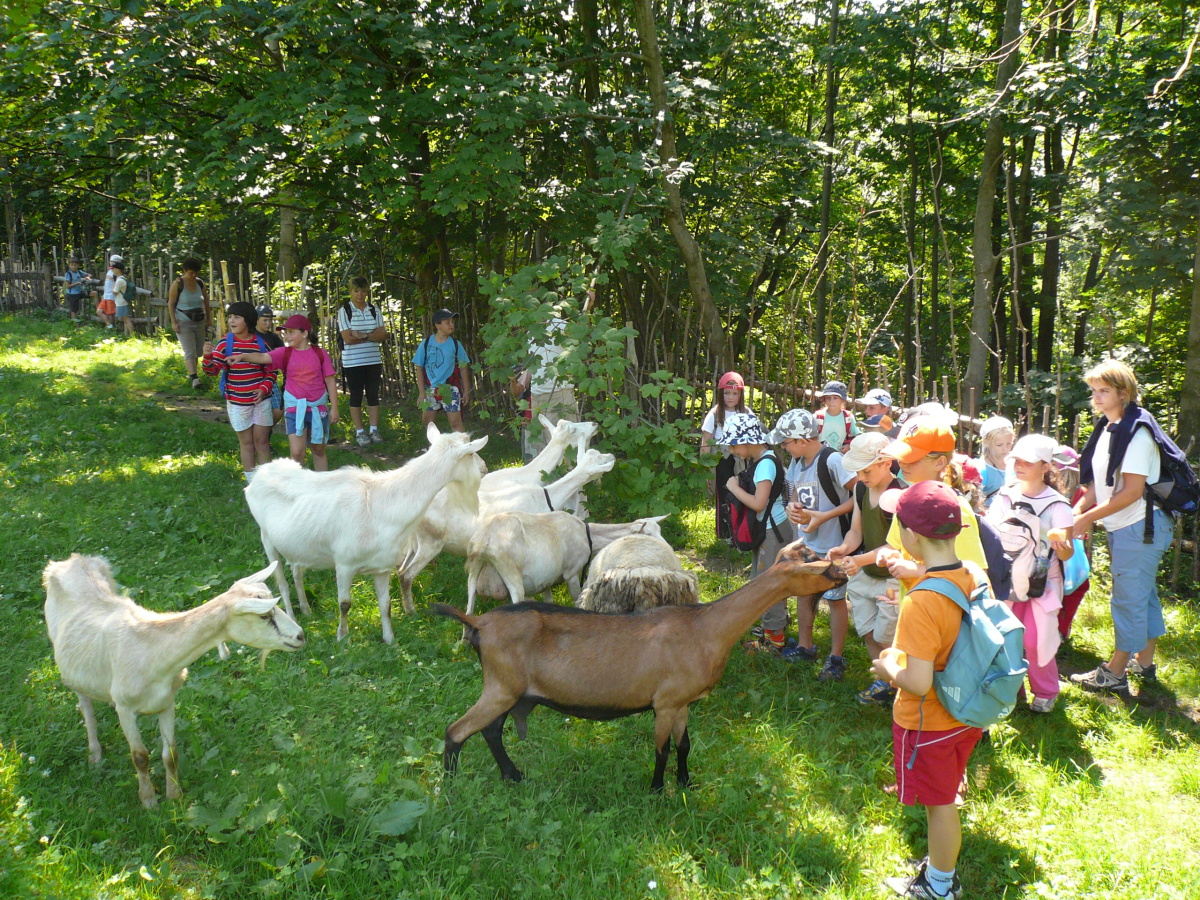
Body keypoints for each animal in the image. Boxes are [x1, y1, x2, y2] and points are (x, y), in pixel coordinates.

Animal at [42, 555, 305, 809]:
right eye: (264, 615)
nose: (300, 635)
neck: (153, 651)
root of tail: (72, 560)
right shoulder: (126, 708)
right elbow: (140, 756)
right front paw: (149, 801)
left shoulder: (167, 702)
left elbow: (170, 753)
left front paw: (174, 796)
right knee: (85, 706)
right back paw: (95, 754)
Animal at [246, 422, 488, 643]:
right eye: (472, 453)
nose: (485, 468)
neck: (381, 504)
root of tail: (259, 473)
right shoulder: (344, 563)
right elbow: (344, 604)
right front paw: (342, 637)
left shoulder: (382, 567)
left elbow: (386, 605)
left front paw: (389, 639)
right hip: (266, 538)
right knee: (282, 583)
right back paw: (293, 616)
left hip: (296, 545)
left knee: (296, 572)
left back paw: (306, 610)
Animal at [433, 541, 846, 792]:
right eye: (812, 565)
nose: (843, 572)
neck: (707, 628)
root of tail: (479, 624)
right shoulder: (664, 703)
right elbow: (661, 749)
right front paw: (657, 789)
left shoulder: (682, 702)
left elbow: (684, 745)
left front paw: (686, 784)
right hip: (500, 687)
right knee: (456, 730)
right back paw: (450, 787)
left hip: (511, 691)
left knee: (490, 731)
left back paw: (513, 775)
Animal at [464, 512, 666, 614]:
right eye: (648, 533)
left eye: (659, 529)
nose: (667, 547)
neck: (588, 535)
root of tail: (485, 540)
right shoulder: (572, 573)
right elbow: (576, 599)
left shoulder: (545, 579)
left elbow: (548, 599)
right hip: (510, 572)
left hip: (474, 569)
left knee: (470, 602)